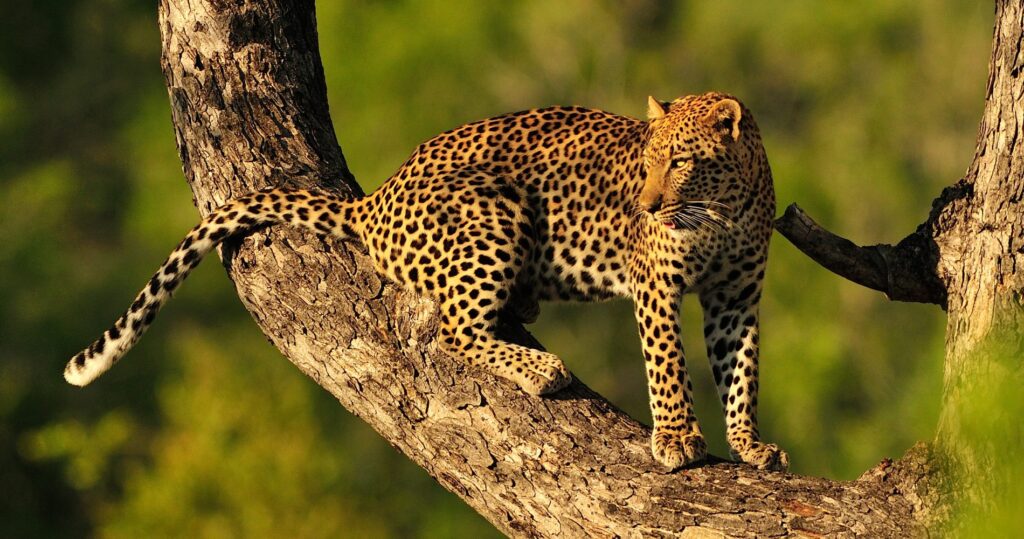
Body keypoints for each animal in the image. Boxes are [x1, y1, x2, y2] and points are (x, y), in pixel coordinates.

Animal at [64, 92, 788, 472]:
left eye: (681, 161)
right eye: (647, 162)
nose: (646, 205)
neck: (723, 206)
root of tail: (375, 200)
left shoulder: (737, 297)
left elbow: (742, 371)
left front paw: (751, 445)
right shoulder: (657, 286)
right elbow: (668, 365)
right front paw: (677, 439)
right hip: (494, 210)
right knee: (455, 330)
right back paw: (540, 369)